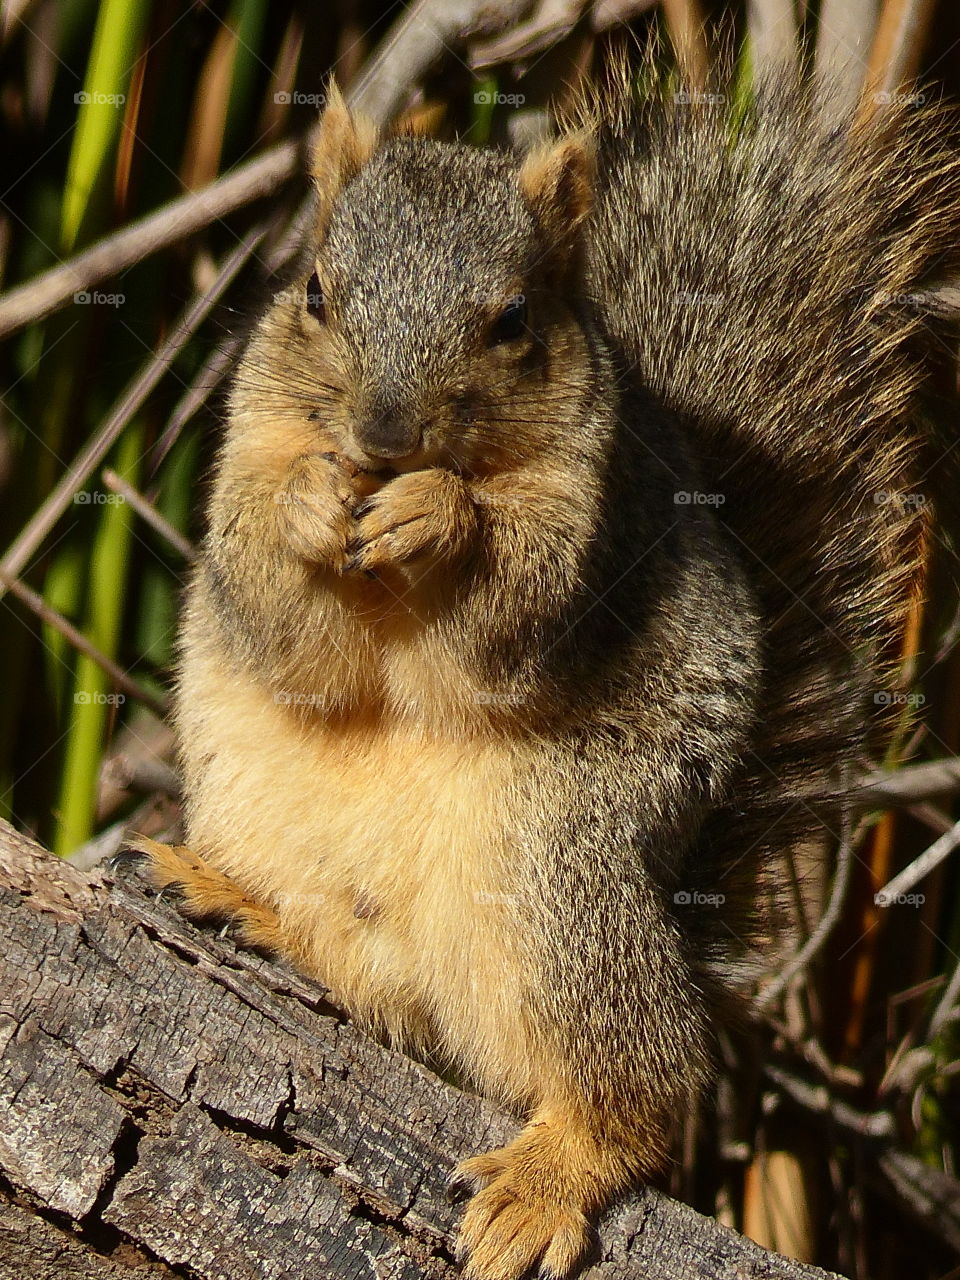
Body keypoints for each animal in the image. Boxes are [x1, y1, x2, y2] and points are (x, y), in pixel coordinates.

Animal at [130, 70, 960, 1280]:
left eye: (514, 321)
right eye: (317, 292)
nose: (382, 436)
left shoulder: (590, 533)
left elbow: (504, 613)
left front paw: (442, 516)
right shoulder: (253, 442)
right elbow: (280, 613)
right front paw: (312, 505)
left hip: (557, 869)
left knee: (649, 1080)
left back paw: (553, 1172)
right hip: (257, 799)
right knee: (370, 980)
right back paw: (243, 902)